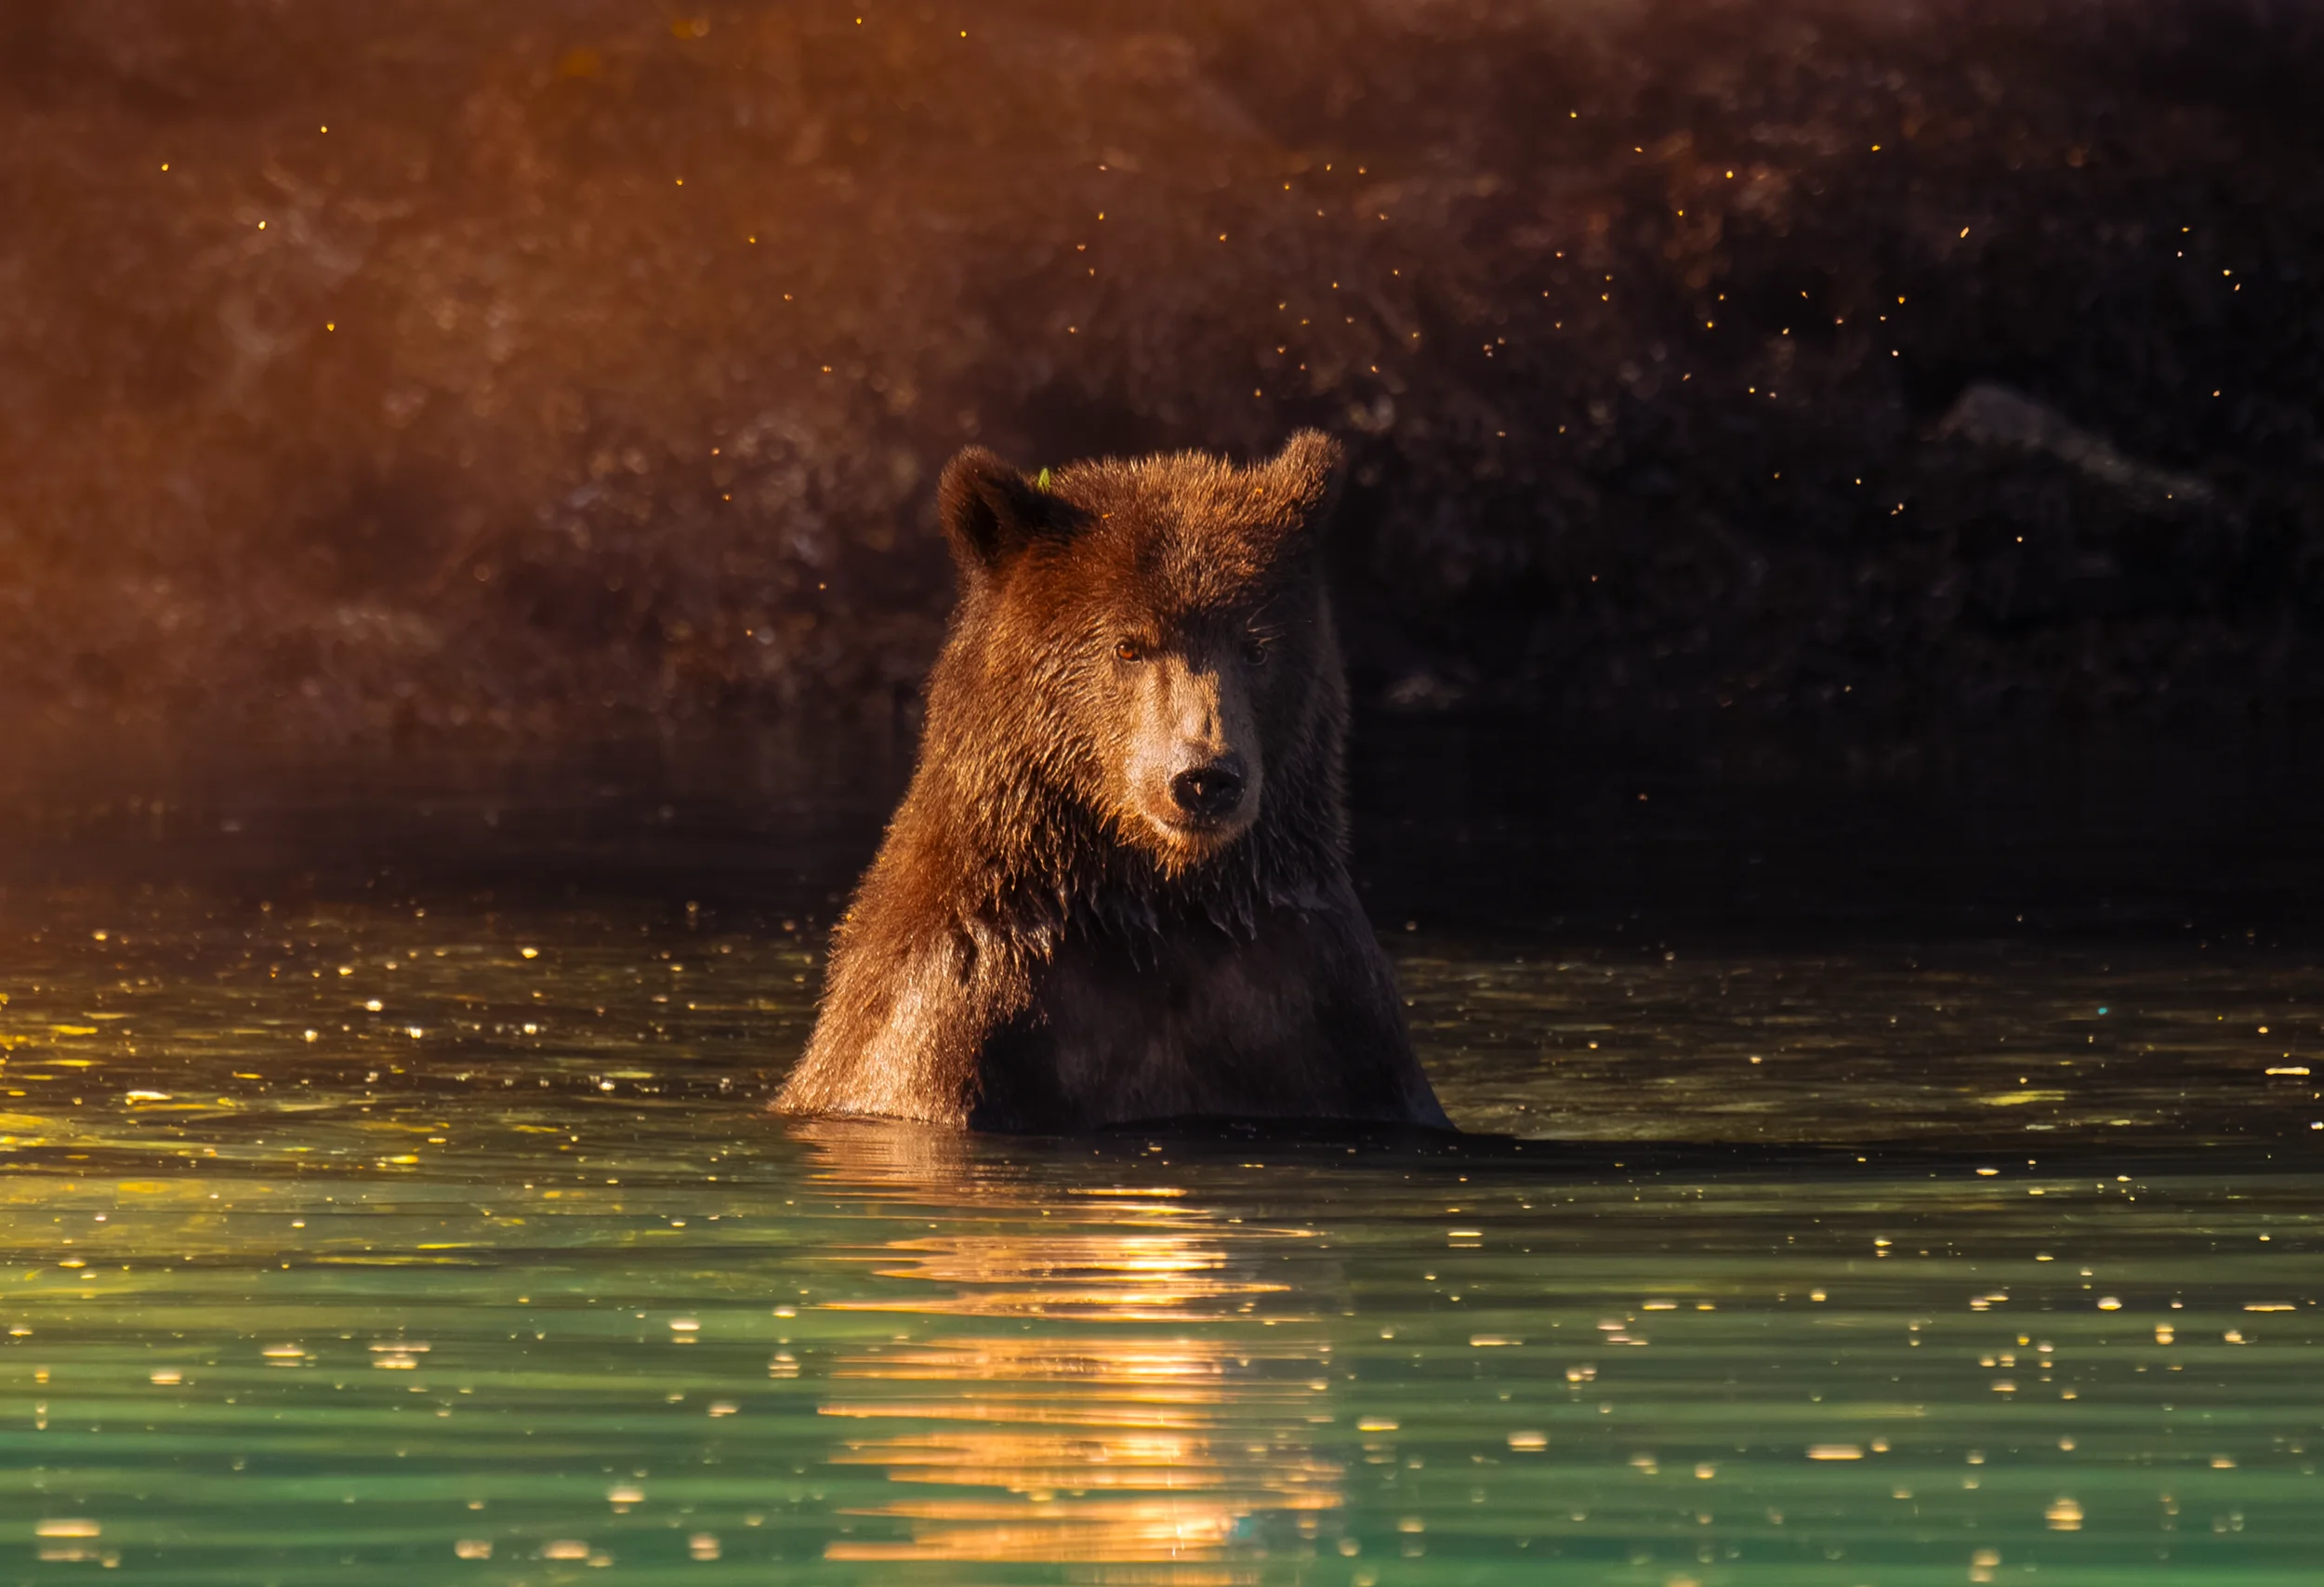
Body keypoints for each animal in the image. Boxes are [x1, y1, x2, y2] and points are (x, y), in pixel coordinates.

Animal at [771, 431, 1451, 1133]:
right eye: (1128, 645)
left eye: (1256, 646)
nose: (1204, 778)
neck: (1157, 897)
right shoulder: (950, 1023)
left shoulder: (1323, 1006)